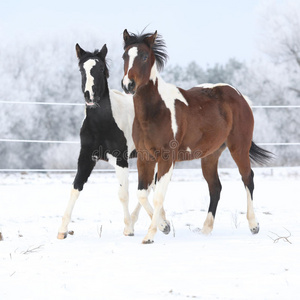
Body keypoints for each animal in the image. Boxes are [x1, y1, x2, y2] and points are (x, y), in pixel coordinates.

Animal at [58, 42, 142, 239]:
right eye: (82, 69)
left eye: (101, 68)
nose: (90, 96)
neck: (102, 124)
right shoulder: (86, 158)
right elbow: (75, 188)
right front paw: (62, 230)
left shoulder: (121, 159)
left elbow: (123, 193)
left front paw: (128, 229)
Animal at [120, 29, 274, 244]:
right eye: (125, 56)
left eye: (143, 56)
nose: (128, 85)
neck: (154, 111)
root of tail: (240, 96)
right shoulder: (145, 158)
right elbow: (143, 193)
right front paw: (164, 226)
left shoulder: (166, 159)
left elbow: (158, 195)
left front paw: (150, 235)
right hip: (210, 156)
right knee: (215, 187)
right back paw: (206, 229)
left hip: (239, 148)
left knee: (247, 178)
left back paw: (254, 225)